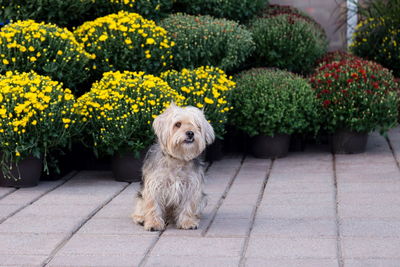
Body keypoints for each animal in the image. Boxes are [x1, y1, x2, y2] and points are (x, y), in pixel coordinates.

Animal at [131, 103, 214, 231]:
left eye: (197, 126)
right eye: (177, 124)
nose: (190, 133)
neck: (178, 159)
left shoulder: (191, 186)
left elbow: (188, 205)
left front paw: (187, 222)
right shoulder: (154, 186)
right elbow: (153, 205)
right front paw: (154, 223)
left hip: (202, 199)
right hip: (141, 196)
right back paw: (140, 218)